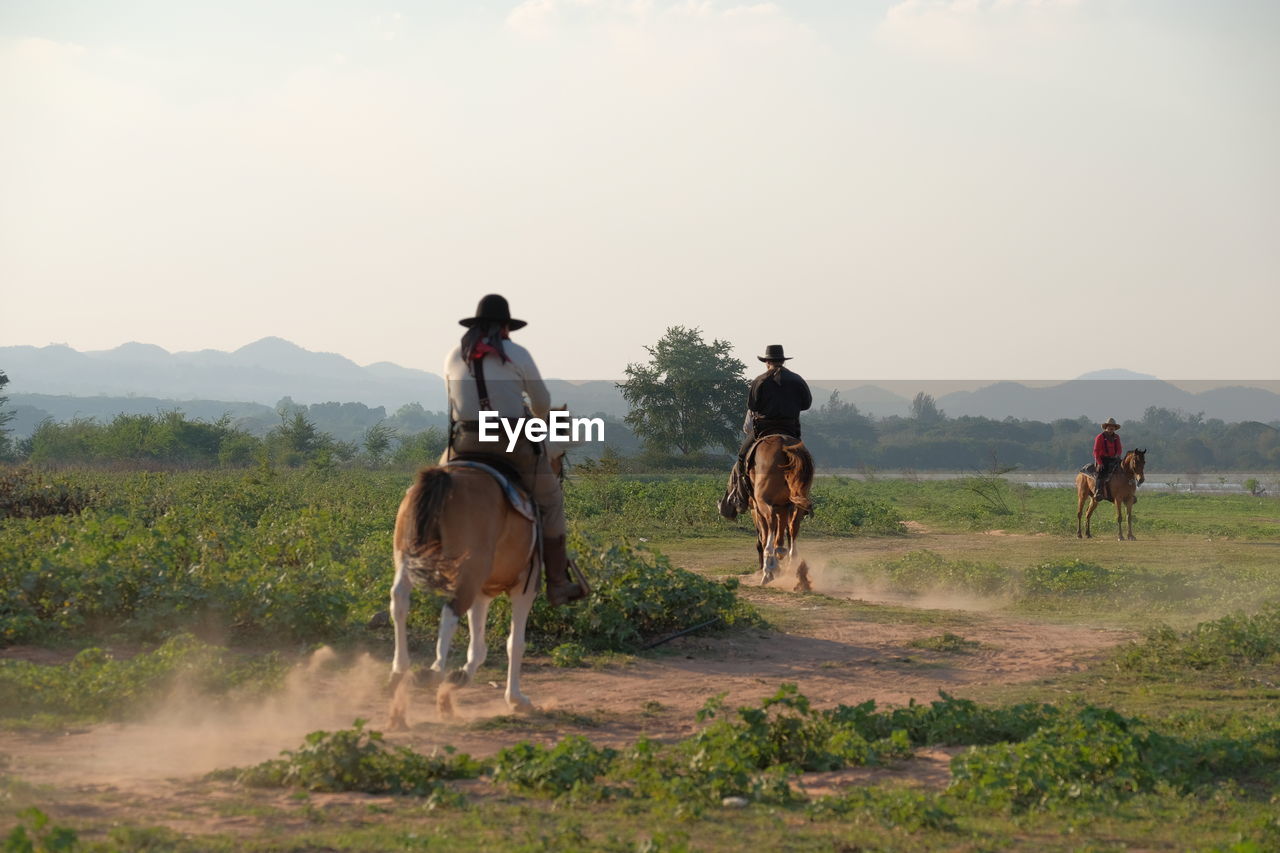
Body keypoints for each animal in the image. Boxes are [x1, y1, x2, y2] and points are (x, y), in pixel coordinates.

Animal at [386, 445, 568, 722]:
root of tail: (445, 478)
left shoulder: (482, 591)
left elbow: (478, 645)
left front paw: (457, 681)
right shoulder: (524, 587)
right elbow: (515, 643)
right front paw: (516, 699)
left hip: (407, 558)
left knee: (399, 601)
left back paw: (400, 671)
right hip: (468, 571)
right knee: (450, 611)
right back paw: (434, 670)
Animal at [747, 435, 814, 589]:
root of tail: (784, 443)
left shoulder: (758, 510)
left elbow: (765, 537)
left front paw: (771, 568)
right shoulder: (783, 507)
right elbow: (781, 537)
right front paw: (779, 560)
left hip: (763, 503)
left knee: (771, 527)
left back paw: (767, 572)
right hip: (797, 502)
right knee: (793, 528)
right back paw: (791, 568)